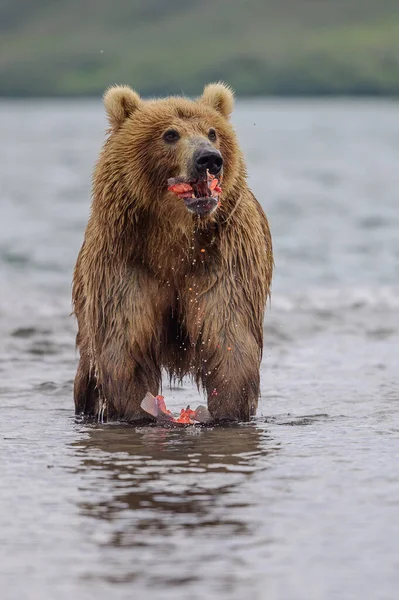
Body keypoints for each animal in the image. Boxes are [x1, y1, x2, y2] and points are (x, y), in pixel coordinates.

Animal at [72, 83, 274, 422]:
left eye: (212, 132)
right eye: (170, 134)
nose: (209, 159)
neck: (173, 237)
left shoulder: (221, 261)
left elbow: (229, 339)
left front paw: (227, 411)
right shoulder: (127, 262)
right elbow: (127, 345)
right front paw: (138, 409)